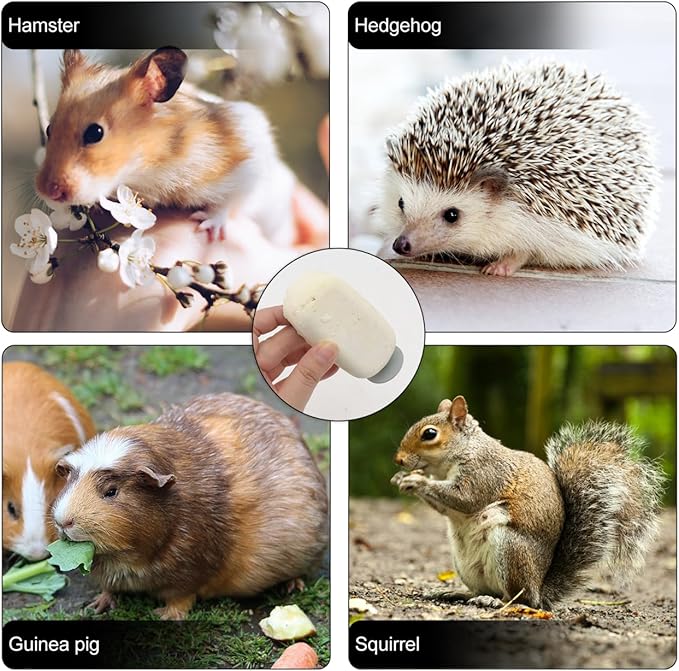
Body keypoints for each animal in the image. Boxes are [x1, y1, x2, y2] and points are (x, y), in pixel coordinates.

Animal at [36, 48, 295, 245]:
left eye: (95, 133)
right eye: (48, 129)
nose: (48, 192)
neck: (149, 167)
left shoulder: (248, 163)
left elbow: (229, 202)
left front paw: (206, 226)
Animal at [52, 393, 328, 620]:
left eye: (111, 491)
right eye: (70, 480)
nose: (63, 521)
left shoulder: (189, 573)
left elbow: (181, 599)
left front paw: (164, 615)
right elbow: (108, 587)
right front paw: (96, 606)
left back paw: (292, 587)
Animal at [391, 395, 664, 609]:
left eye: (429, 434)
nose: (399, 460)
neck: (464, 451)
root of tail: (538, 589)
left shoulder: (486, 473)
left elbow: (465, 499)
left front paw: (417, 481)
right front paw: (403, 479)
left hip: (511, 550)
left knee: (517, 599)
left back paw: (494, 601)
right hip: (465, 564)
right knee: (483, 589)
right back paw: (457, 592)